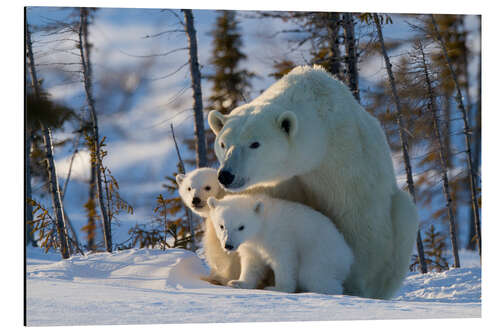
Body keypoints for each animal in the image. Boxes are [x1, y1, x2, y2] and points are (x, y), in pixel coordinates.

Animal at [209, 193, 354, 294]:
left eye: (241, 227)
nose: (228, 245)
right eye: (221, 226)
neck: (262, 225)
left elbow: (284, 261)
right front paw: (237, 282)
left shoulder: (280, 236)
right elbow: (252, 263)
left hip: (321, 254)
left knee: (314, 275)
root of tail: (348, 255)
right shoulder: (251, 245)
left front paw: (277, 288)